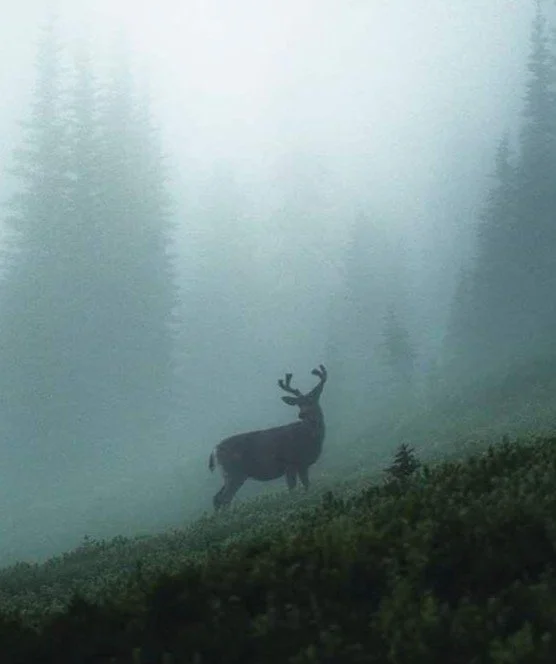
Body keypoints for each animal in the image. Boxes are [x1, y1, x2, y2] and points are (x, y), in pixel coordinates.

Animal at [208, 365, 327, 510]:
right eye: (298, 403)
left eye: (311, 400)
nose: (302, 414)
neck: (309, 436)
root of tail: (214, 450)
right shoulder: (290, 463)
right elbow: (292, 488)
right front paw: (294, 503)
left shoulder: (303, 465)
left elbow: (307, 486)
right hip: (233, 472)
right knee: (224, 498)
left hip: (231, 475)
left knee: (217, 498)